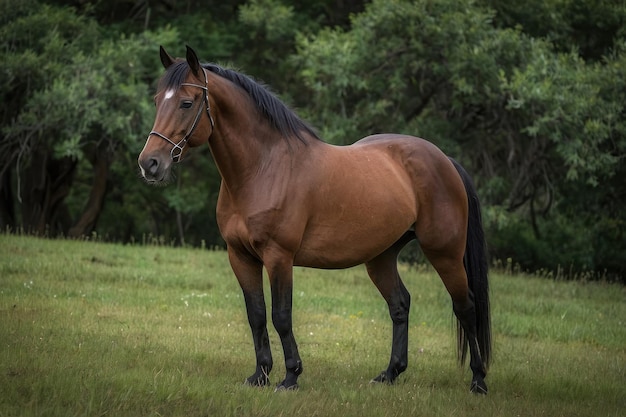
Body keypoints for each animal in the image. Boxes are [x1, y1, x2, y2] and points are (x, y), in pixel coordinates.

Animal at [139, 45, 490, 394]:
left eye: (186, 103)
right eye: (157, 101)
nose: (149, 163)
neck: (264, 168)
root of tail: (445, 160)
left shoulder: (279, 256)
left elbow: (281, 316)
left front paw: (290, 376)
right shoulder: (240, 256)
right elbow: (256, 314)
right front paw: (260, 375)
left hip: (444, 253)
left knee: (466, 307)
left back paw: (478, 380)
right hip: (381, 256)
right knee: (400, 304)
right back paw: (390, 373)